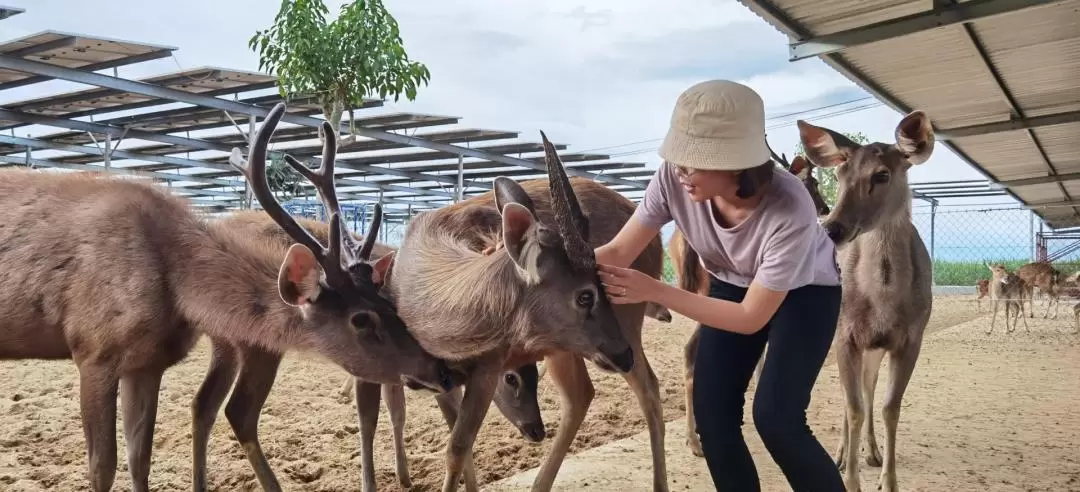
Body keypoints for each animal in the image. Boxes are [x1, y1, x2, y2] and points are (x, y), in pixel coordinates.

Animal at [0, 101, 451, 492]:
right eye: (361, 319)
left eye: (391, 305)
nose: (442, 370)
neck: (175, 280)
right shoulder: (94, 350)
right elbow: (101, 469)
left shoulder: (147, 362)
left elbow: (139, 459)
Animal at [794, 108, 937, 492]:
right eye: (839, 174)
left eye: (882, 174)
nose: (832, 228)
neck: (884, 301)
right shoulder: (846, 335)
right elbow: (854, 407)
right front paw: (850, 479)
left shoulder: (912, 337)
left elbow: (889, 406)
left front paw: (888, 481)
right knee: (851, 398)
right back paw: (843, 454)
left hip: (874, 347)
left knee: (868, 388)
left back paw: (870, 452)